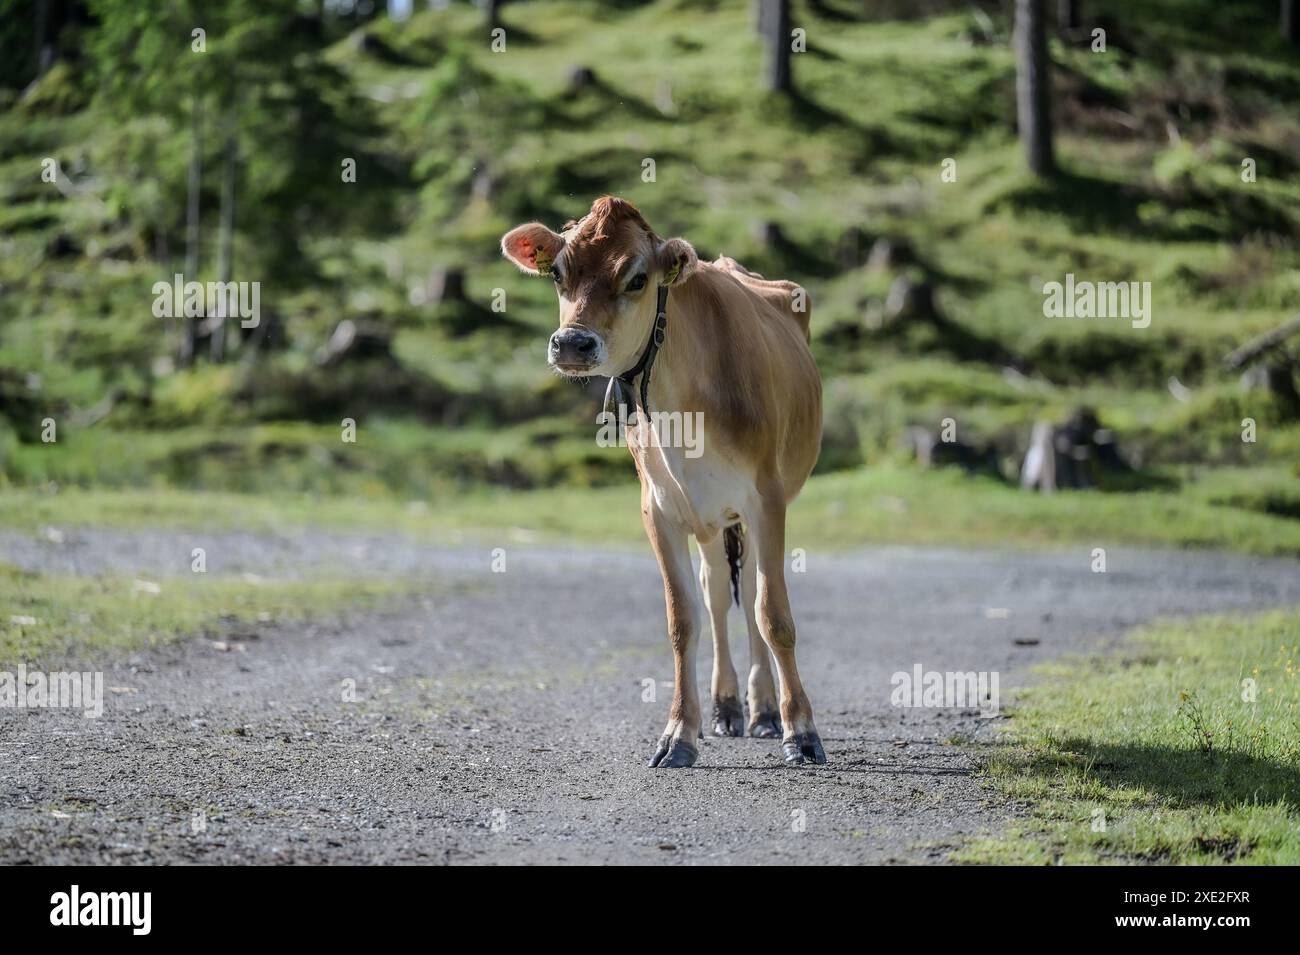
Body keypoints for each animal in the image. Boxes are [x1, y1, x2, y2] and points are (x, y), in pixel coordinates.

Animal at [501, 196, 824, 768]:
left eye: (636, 278)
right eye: (558, 273)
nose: (571, 343)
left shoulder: (766, 499)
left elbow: (774, 614)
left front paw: (801, 731)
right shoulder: (659, 506)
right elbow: (683, 619)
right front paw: (679, 733)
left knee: (753, 595)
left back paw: (766, 711)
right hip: (709, 515)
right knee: (717, 591)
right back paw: (731, 707)